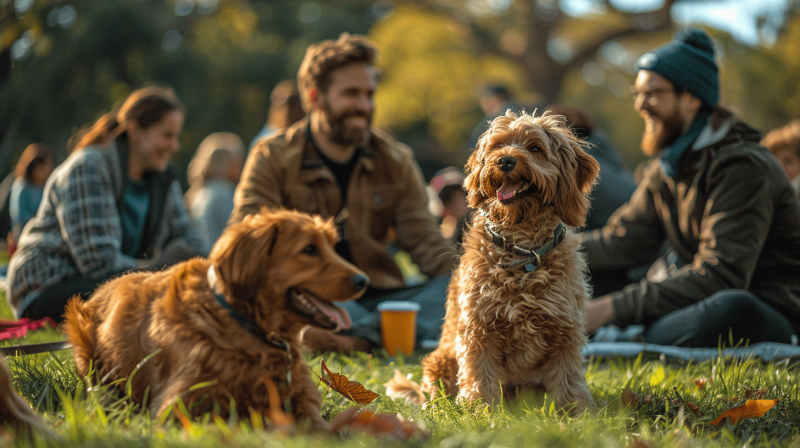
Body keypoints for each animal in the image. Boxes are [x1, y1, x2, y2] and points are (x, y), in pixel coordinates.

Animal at [63, 208, 368, 428]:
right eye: (309, 249)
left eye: (331, 246)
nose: (363, 280)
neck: (249, 328)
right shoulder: (180, 405)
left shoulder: (302, 398)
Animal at [422, 111, 596, 412]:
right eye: (497, 145)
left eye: (535, 148)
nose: (505, 160)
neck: (522, 251)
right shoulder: (478, 327)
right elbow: (479, 373)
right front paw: (479, 409)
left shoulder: (565, 327)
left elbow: (568, 375)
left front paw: (576, 411)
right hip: (439, 360)